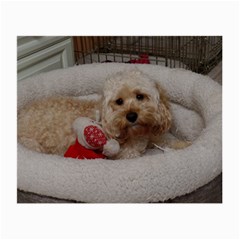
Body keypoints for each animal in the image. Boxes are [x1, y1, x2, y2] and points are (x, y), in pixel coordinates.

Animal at [17, 69, 189, 159]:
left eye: (140, 96)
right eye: (119, 101)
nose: (131, 116)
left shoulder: (153, 136)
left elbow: (168, 140)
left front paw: (185, 145)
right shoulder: (127, 154)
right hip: (32, 145)